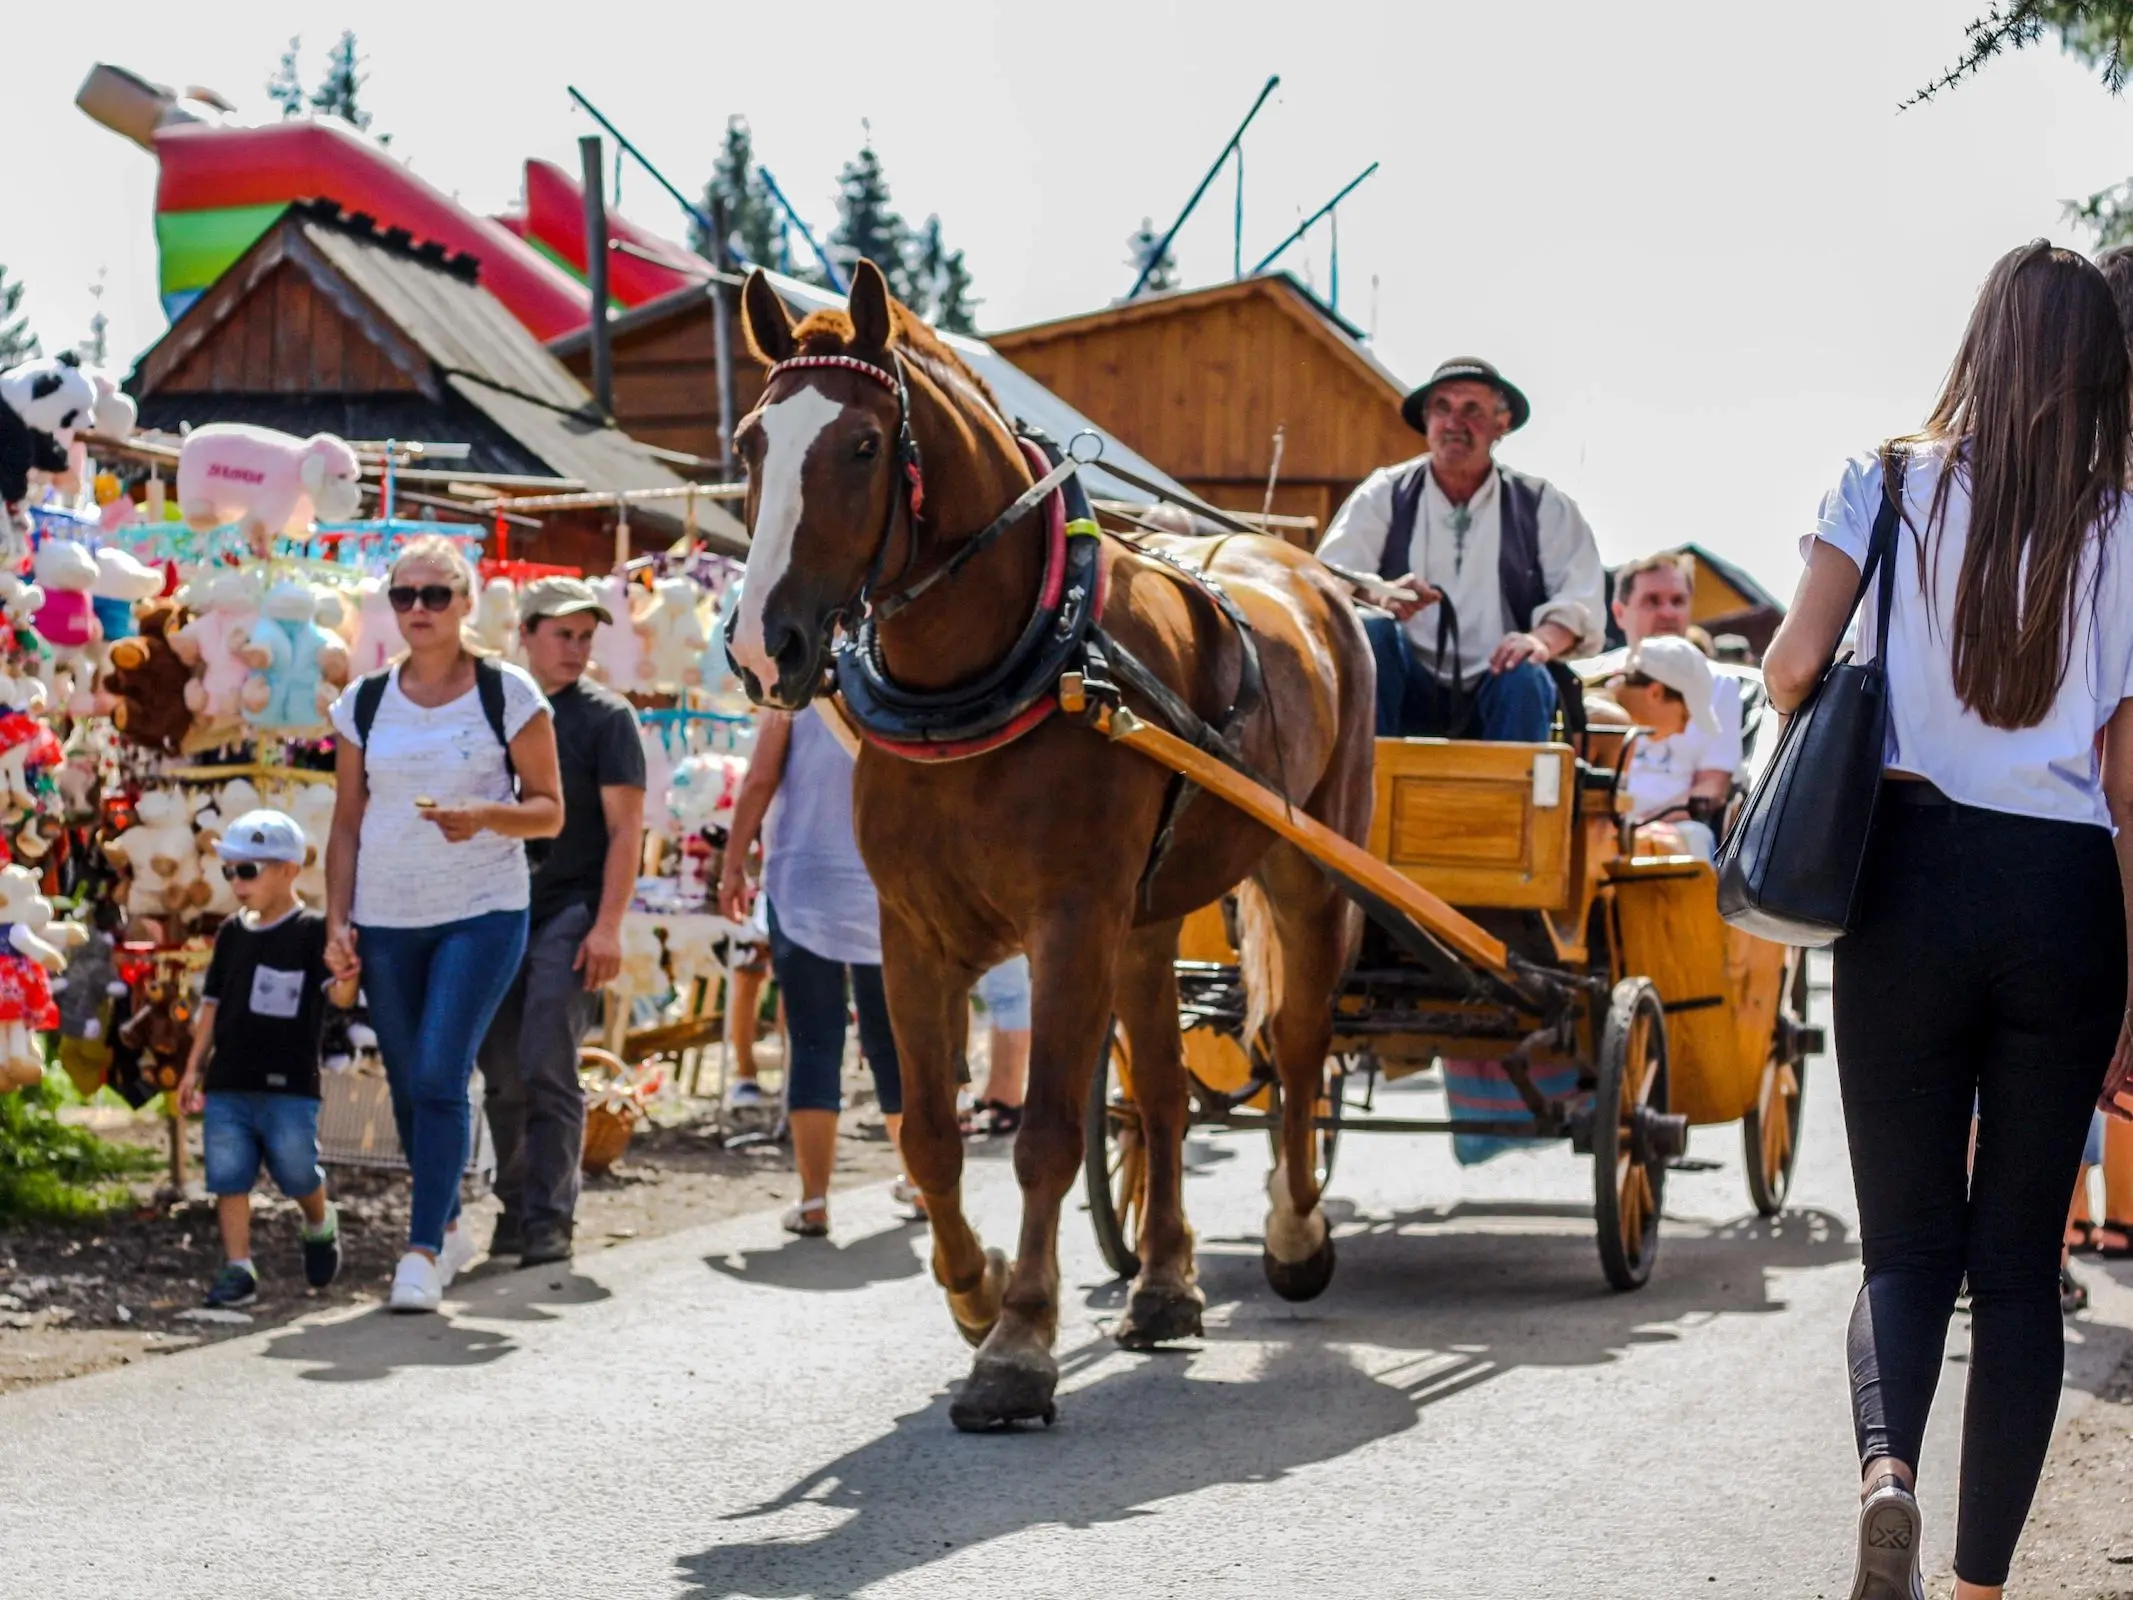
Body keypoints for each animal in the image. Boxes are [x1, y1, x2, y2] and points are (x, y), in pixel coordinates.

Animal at [725, 260, 1373, 1425]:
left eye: (863, 446)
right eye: (752, 441)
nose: (764, 647)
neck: (1005, 667)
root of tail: (1301, 571)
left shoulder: (1069, 926)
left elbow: (1045, 1136)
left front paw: (1019, 1344)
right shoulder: (912, 932)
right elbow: (930, 1133)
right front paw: (974, 1293)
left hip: (1308, 869)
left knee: (1300, 1044)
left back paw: (1296, 1228)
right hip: (1148, 920)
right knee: (1160, 1090)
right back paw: (1163, 1282)